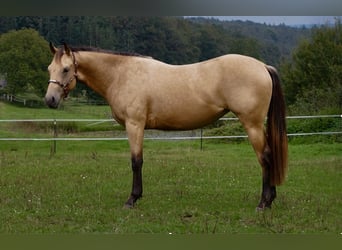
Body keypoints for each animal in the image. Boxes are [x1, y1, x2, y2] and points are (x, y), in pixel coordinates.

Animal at [44, 43, 288, 211]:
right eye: (49, 68)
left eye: (66, 69)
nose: (50, 100)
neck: (121, 74)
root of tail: (263, 66)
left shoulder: (135, 125)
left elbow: (136, 162)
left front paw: (132, 199)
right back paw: (271, 199)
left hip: (252, 124)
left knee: (265, 157)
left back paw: (263, 203)